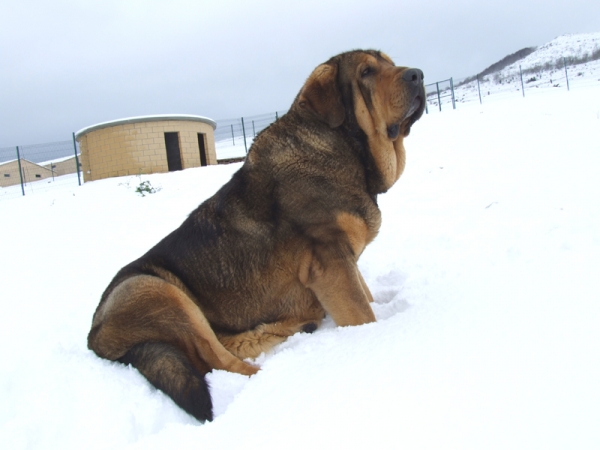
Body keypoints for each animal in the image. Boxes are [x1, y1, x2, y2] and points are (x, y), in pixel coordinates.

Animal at [88, 50, 426, 422]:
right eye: (366, 71)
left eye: (389, 63)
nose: (417, 75)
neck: (343, 148)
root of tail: (93, 337)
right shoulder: (330, 260)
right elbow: (362, 313)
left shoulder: (344, 260)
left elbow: (366, 295)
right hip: (154, 289)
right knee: (218, 360)